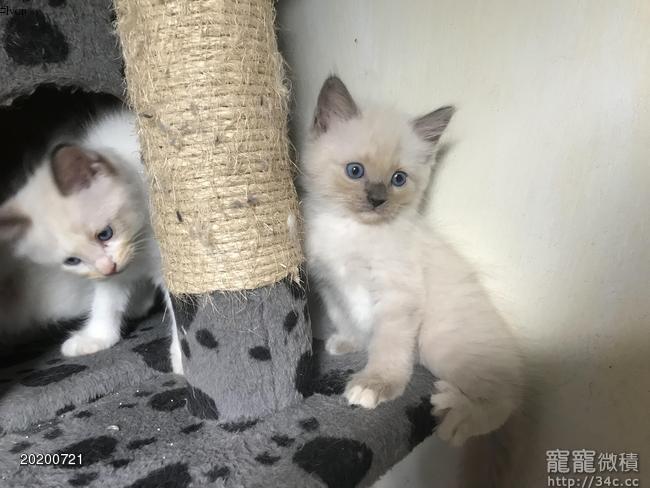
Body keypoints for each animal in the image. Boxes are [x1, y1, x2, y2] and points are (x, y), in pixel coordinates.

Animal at [0, 107, 183, 374]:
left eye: (105, 234)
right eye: (72, 261)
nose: (108, 267)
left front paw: (183, 356)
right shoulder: (109, 278)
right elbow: (105, 305)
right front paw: (96, 338)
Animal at [301, 76, 524, 449]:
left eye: (398, 179)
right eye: (355, 171)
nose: (376, 200)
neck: (351, 231)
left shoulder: (397, 295)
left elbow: (387, 345)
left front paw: (373, 385)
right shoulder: (330, 286)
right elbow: (345, 318)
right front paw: (347, 342)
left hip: (438, 344)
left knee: (506, 399)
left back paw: (454, 418)